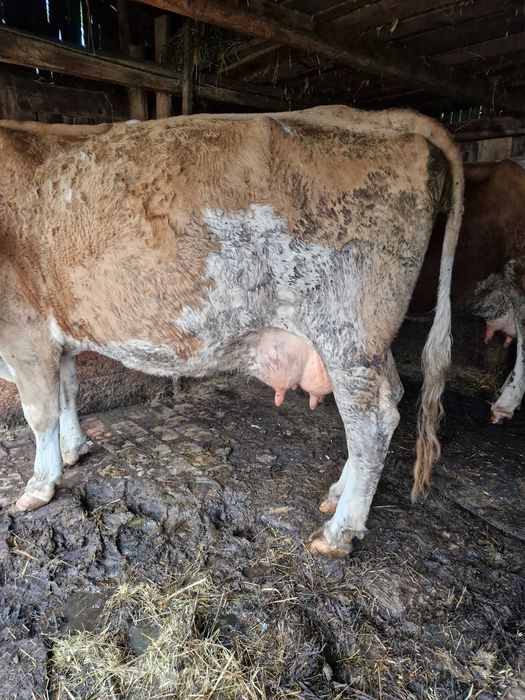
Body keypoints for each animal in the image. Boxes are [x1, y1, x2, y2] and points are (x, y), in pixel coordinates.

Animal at [0, 106, 463, 555]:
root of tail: (384, 117)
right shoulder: (55, 335)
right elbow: (67, 394)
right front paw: (74, 450)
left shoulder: (23, 331)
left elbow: (39, 413)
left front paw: (39, 486)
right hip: (368, 345)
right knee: (392, 396)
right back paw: (336, 495)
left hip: (348, 334)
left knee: (372, 423)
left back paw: (339, 532)